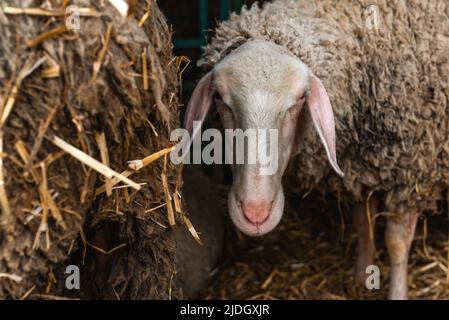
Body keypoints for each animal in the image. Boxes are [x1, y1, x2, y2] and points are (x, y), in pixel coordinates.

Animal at [182, 0, 448, 300]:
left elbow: (396, 244)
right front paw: (361, 276)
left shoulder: (413, 172)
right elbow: (362, 221)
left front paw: (397, 292)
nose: (255, 213)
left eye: (299, 99)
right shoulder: (360, 166)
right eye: (219, 98)